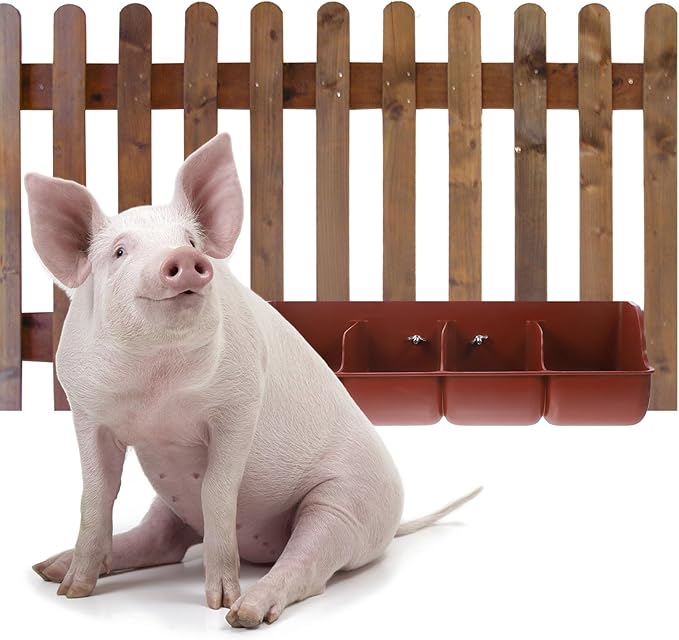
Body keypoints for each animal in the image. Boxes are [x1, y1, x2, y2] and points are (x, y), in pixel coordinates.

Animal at [25, 132, 482, 628]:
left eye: (189, 239)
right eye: (120, 252)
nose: (185, 257)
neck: (157, 389)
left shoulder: (240, 402)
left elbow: (217, 491)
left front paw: (218, 602)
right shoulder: (85, 408)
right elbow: (97, 494)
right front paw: (72, 593)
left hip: (344, 505)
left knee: (308, 565)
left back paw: (243, 612)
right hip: (172, 504)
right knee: (161, 539)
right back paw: (49, 567)